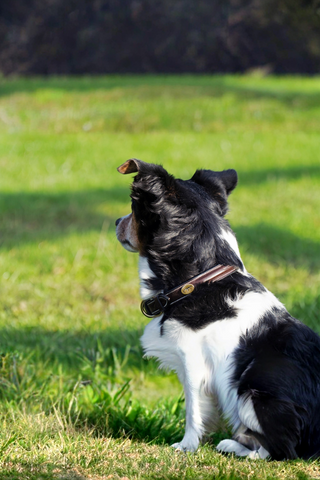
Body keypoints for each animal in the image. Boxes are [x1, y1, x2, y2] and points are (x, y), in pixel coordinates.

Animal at [115, 159, 320, 460]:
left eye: (133, 210)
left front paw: (186, 446)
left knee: (282, 449)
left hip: (251, 389)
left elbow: (193, 411)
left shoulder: (193, 363)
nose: (116, 222)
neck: (200, 280)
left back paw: (237, 448)